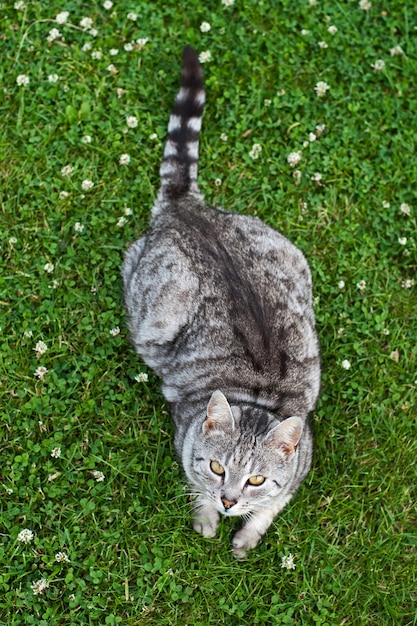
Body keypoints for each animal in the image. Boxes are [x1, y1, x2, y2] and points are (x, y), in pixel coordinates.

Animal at [122, 46, 320, 560]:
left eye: (256, 479)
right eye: (217, 469)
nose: (230, 501)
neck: (256, 396)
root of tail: (188, 208)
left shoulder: (303, 462)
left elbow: (276, 504)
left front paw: (248, 532)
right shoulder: (184, 437)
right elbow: (192, 484)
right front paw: (207, 515)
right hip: (149, 316)